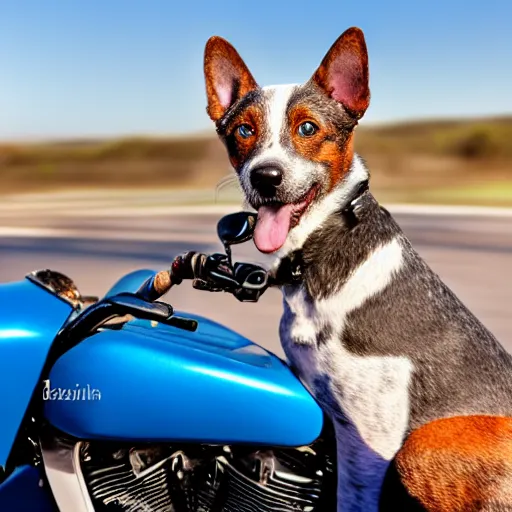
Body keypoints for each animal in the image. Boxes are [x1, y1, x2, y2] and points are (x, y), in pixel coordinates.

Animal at [202, 27, 512, 508]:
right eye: (243, 131)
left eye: (308, 128)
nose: (265, 176)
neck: (325, 244)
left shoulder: (369, 440)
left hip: (421, 446)